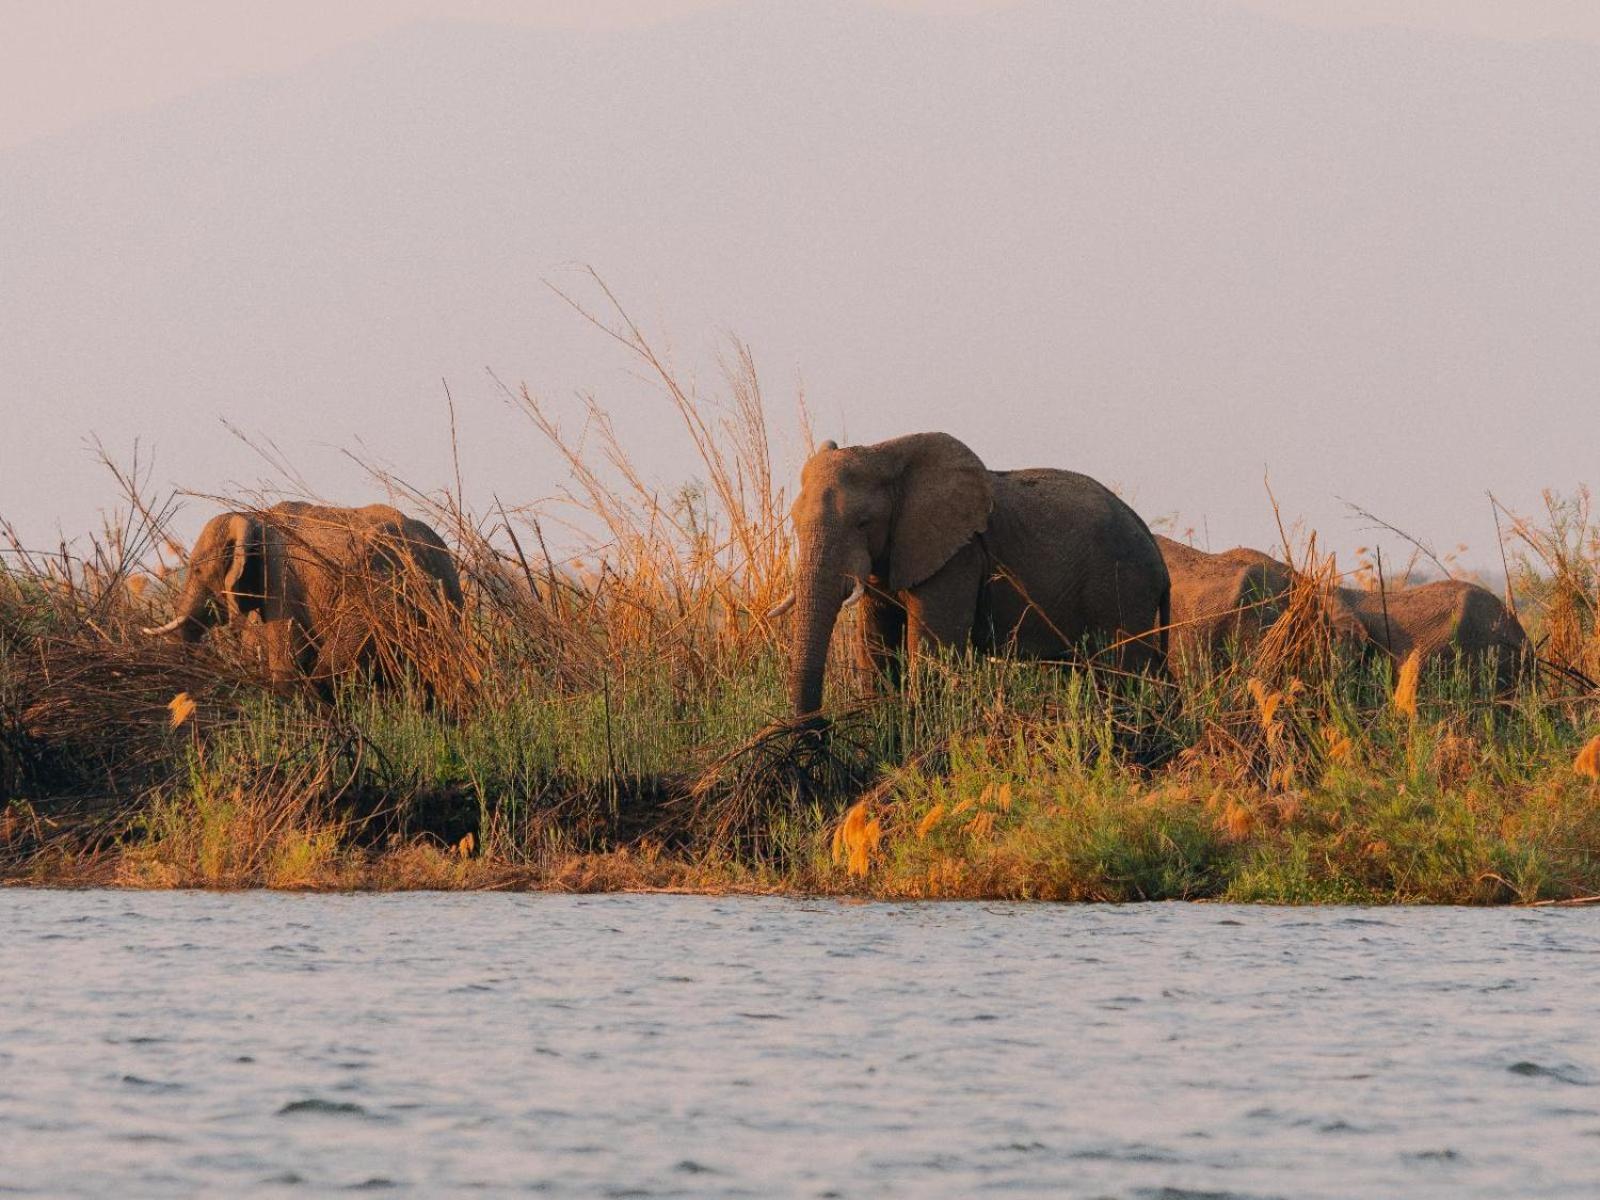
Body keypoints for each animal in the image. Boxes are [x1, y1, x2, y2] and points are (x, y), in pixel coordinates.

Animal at [768, 432, 1171, 720]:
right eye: (794, 523)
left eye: (863, 523)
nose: (818, 730)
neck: (886, 453)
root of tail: (1157, 554)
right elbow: (876, 645)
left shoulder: (958, 557)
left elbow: (932, 652)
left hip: (1122, 586)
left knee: (1119, 672)